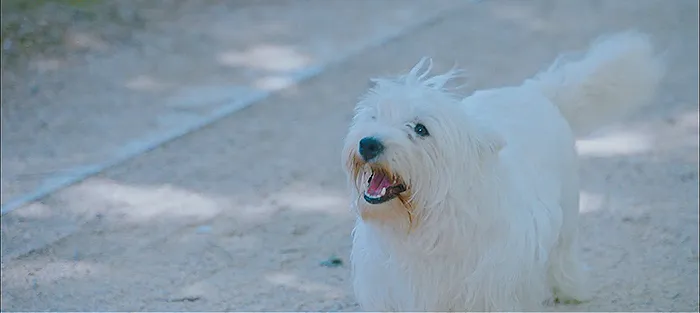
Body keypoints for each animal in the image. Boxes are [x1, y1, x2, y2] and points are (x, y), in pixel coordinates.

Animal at [342, 31, 664, 310]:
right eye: (374, 116)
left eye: (420, 129)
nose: (368, 143)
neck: (424, 226)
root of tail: (535, 91)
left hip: (568, 214)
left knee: (564, 256)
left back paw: (573, 290)